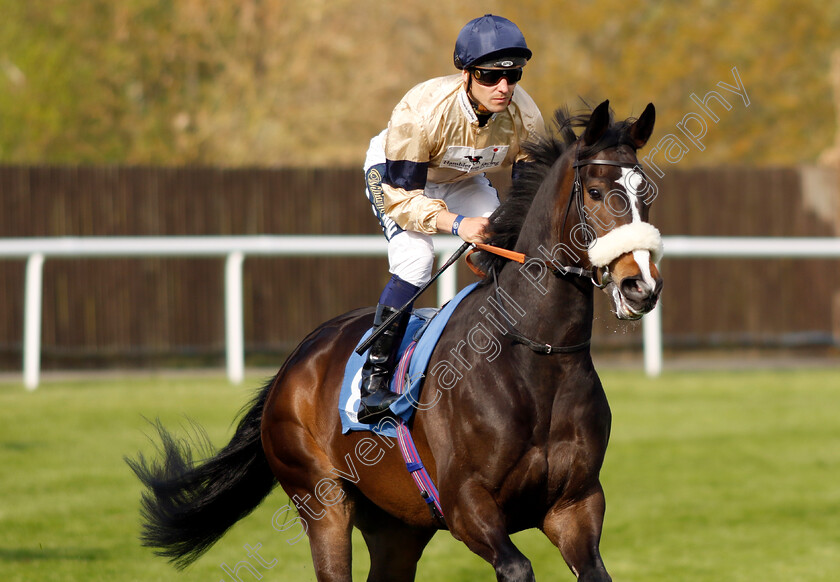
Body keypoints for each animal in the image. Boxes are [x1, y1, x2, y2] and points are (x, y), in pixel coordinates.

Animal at [128, 99, 664, 580]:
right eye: (595, 191)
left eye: (646, 192)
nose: (640, 285)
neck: (536, 359)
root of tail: (294, 362)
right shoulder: (467, 505)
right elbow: (516, 567)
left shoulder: (575, 504)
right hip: (321, 500)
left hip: (398, 525)